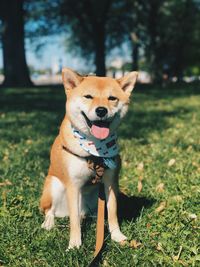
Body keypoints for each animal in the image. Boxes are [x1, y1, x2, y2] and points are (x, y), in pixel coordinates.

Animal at [40, 68, 138, 250]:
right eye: (88, 96)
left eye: (112, 98)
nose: (101, 110)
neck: (95, 149)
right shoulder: (73, 185)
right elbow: (73, 221)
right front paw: (74, 244)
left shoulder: (110, 182)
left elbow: (112, 211)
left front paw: (116, 235)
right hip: (53, 186)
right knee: (50, 211)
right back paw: (49, 223)